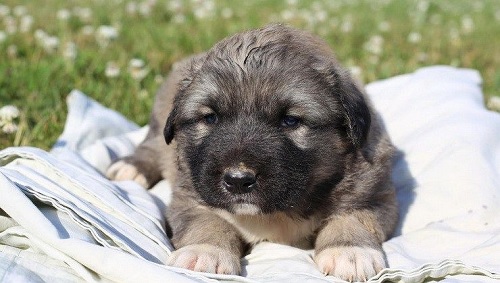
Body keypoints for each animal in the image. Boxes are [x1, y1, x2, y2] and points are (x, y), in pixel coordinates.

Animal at [107, 25, 396, 283]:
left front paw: (350, 251)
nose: (237, 180)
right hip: (159, 132)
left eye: (290, 121)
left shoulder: (373, 194)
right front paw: (204, 252)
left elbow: (351, 216)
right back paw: (131, 167)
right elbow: (208, 221)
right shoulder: (190, 196)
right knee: (150, 148)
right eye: (210, 118)